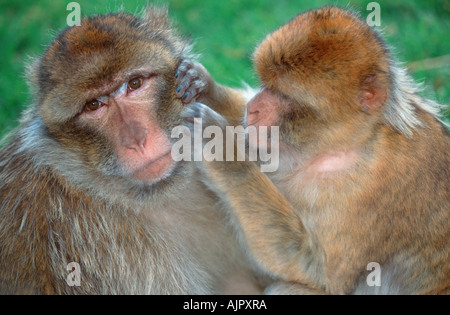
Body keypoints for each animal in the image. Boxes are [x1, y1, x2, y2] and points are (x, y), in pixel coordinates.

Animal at [184, 6, 450, 296]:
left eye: (284, 95)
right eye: (266, 85)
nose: (252, 108)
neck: (347, 144)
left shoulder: (370, 190)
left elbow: (318, 271)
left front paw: (221, 148)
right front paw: (204, 86)